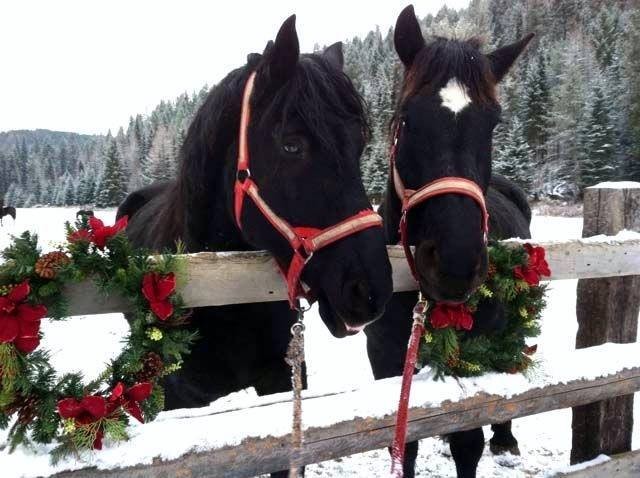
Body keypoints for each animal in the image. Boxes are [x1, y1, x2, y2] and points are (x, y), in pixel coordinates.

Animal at [117, 14, 392, 478]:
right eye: (291, 144)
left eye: (360, 145)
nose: (371, 292)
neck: (220, 291)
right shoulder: (179, 403)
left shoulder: (281, 385)